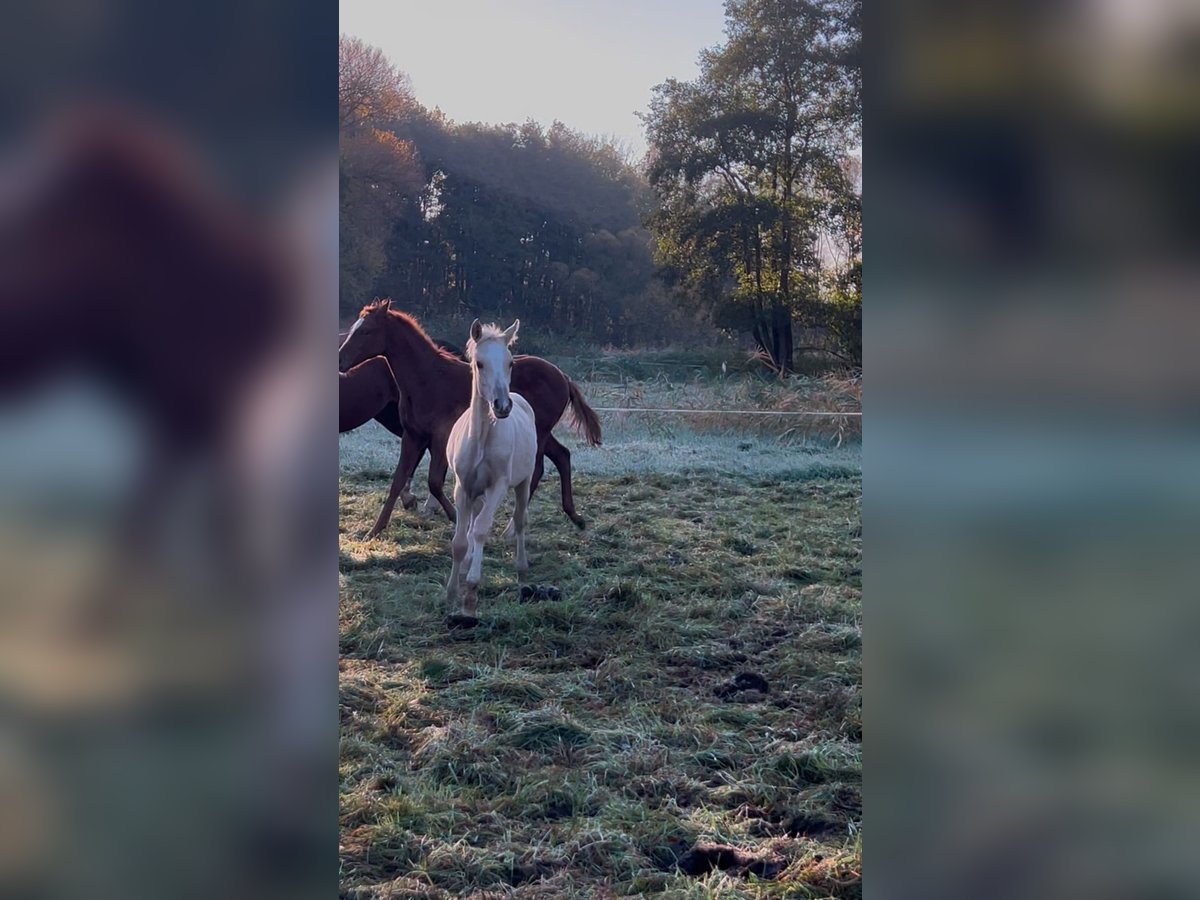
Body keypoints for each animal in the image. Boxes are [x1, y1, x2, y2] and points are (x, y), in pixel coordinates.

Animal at [336, 300, 600, 540]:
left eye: (366, 330)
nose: (340, 360)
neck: (429, 378)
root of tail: (563, 376)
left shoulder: (440, 437)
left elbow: (434, 481)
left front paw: (457, 518)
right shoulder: (413, 436)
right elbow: (398, 479)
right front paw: (374, 530)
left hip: (539, 433)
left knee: (537, 469)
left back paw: (512, 528)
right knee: (562, 455)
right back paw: (574, 517)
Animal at [446, 321, 535, 624]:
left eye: (510, 363)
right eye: (479, 363)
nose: (502, 406)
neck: (482, 438)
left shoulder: (498, 486)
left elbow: (482, 529)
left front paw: (470, 598)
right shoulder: (462, 488)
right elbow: (460, 541)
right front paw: (451, 592)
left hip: (523, 483)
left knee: (519, 521)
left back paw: (522, 572)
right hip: (476, 492)